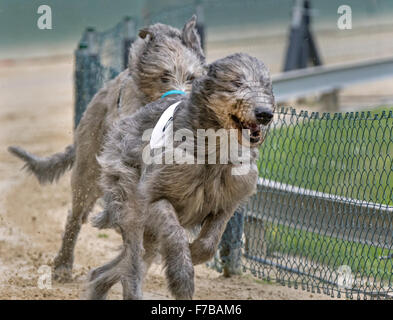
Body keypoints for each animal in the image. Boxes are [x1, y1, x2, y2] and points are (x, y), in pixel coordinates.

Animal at [87, 53, 274, 300]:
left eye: (267, 85)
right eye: (236, 83)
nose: (265, 114)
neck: (214, 151)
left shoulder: (228, 200)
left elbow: (210, 241)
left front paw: (194, 253)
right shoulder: (154, 196)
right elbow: (174, 232)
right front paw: (183, 276)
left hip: (149, 234)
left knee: (113, 269)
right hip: (128, 199)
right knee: (132, 262)